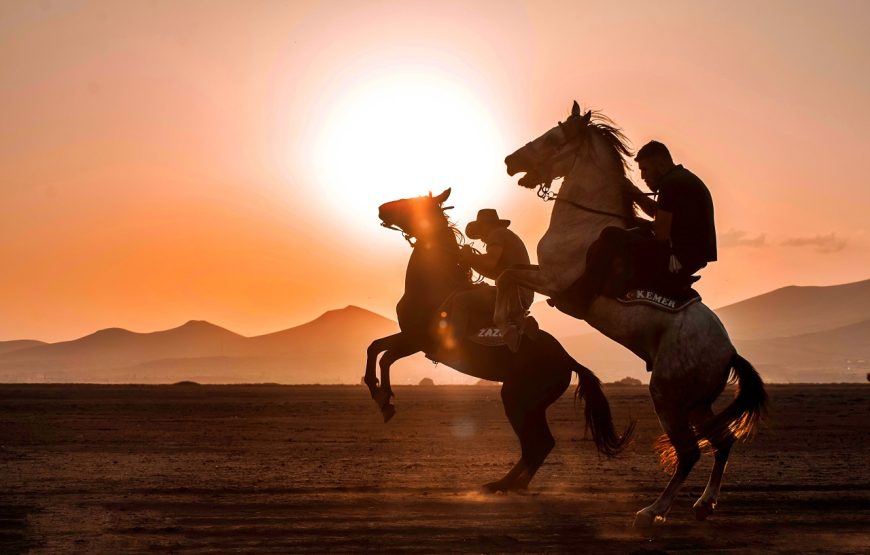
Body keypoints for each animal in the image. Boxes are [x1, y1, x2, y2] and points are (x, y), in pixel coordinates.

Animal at [362, 190, 632, 496]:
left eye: (413, 202)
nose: (382, 208)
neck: (435, 286)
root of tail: (568, 360)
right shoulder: (408, 336)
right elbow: (375, 347)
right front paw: (377, 391)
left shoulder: (417, 340)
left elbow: (385, 356)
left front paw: (385, 399)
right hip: (529, 405)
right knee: (539, 445)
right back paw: (511, 484)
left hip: (518, 400)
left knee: (537, 444)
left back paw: (503, 485)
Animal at [498, 102, 768, 528]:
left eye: (553, 137)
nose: (511, 161)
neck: (586, 224)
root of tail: (729, 352)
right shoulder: (544, 275)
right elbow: (508, 274)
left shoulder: (555, 281)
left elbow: (507, 275)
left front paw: (509, 326)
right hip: (695, 403)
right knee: (721, 442)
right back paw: (704, 504)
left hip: (667, 397)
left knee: (690, 451)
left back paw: (653, 511)